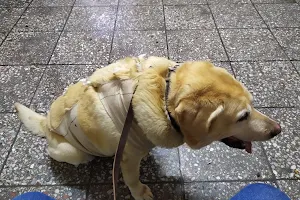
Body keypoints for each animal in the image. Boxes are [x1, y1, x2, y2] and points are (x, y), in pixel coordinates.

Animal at [14, 56, 282, 200]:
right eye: (243, 116)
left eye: (252, 105)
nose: (278, 129)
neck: (164, 96)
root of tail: (46, 123)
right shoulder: (128, 158)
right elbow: (133, 178)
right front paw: (140, 192)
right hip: (72, 152)